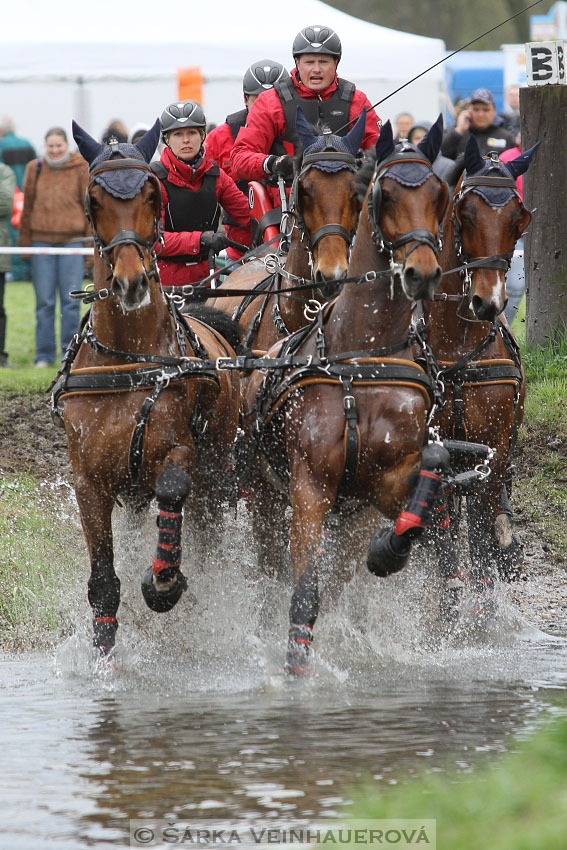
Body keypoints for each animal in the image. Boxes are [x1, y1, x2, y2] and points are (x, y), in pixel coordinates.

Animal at [50, 119, 242, 652]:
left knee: (208, 530)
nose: (131, 282)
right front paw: (104, 658)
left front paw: (163, 581)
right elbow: (102, 583)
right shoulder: (89, 481)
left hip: (217, 470)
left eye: (151, 195)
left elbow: (173, 488)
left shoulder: (179, 452)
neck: (130, 357)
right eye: (93, 199)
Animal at [239, 116, 448, 668]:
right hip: (264, 494)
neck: (362, 356)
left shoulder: (384, 484)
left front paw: (387, 552)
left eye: (440, 193)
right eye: (383, 194)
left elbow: (424, 485)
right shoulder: (309, 484)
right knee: (273, 565)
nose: (423, 272)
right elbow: (305, 587)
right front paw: (295, 663)